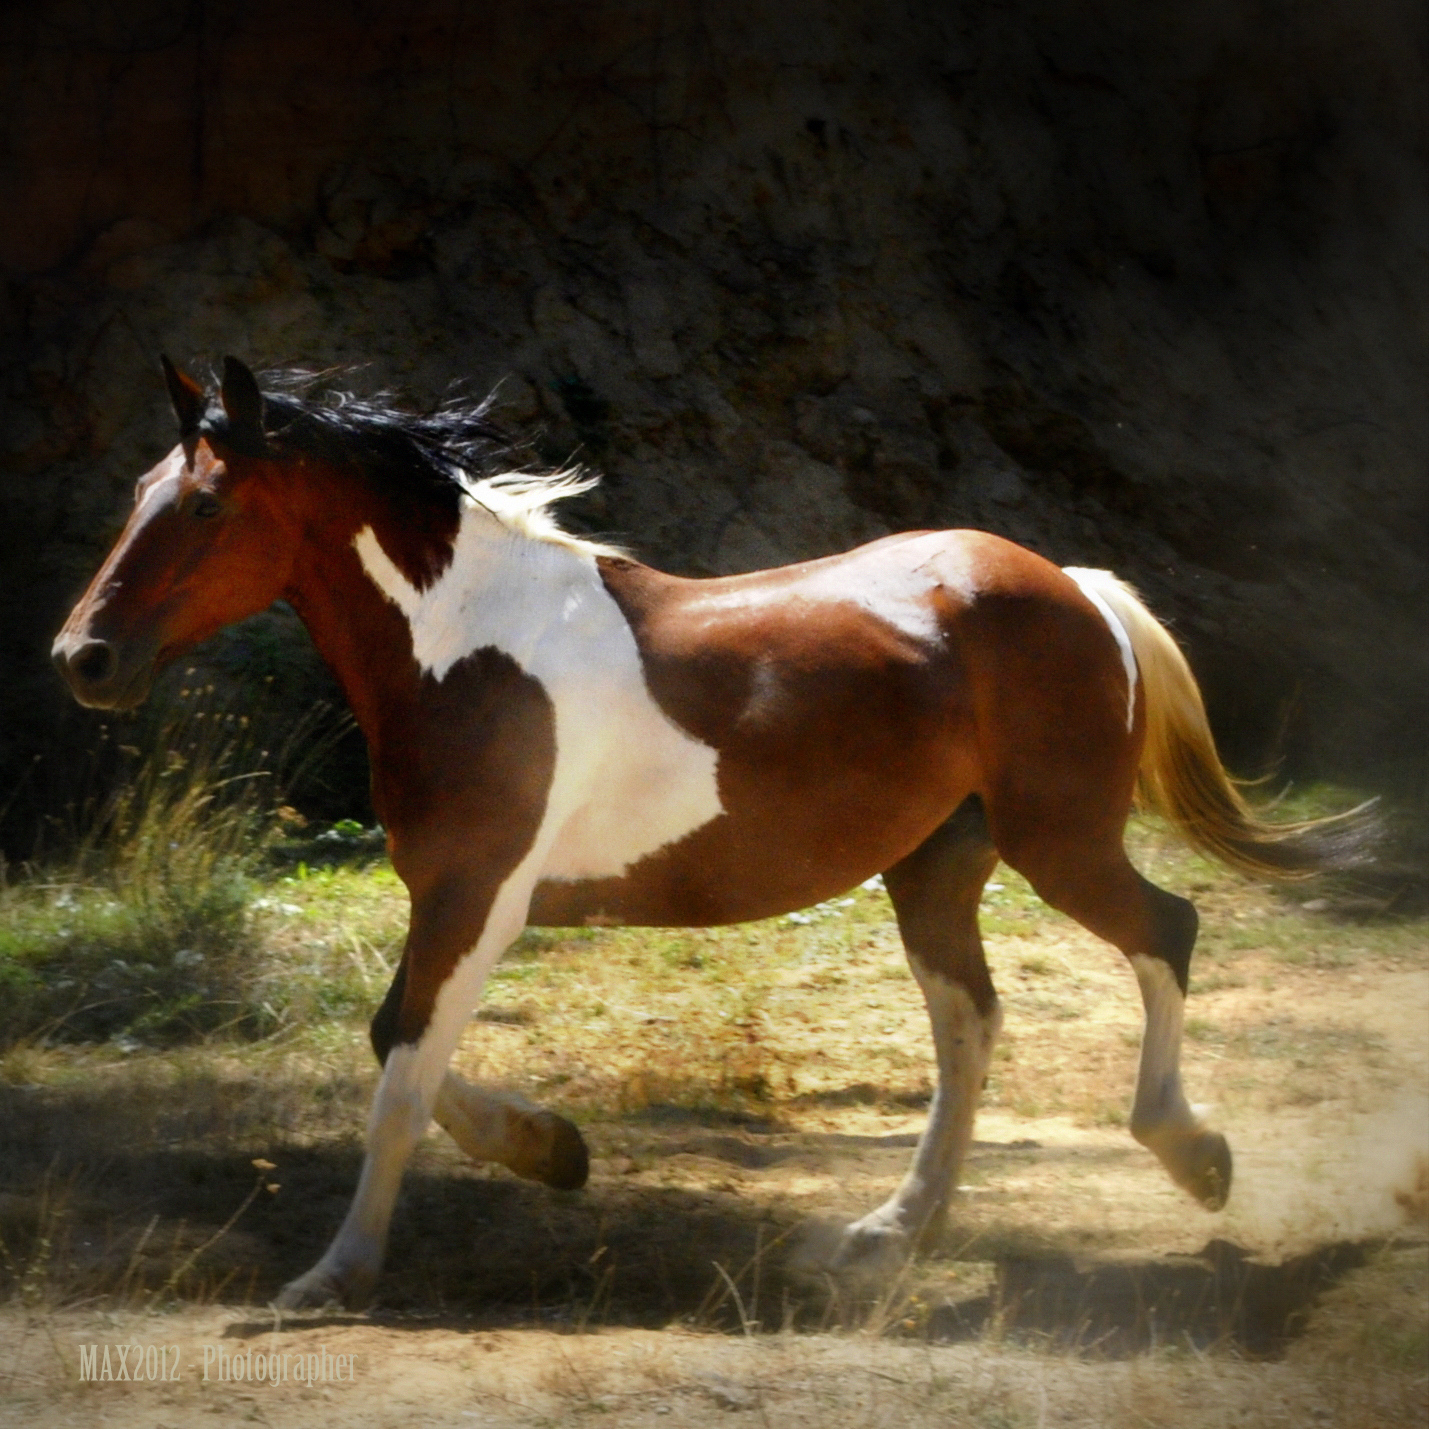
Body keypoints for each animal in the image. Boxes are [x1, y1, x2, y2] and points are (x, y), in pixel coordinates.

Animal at [52, 357, 1368, 1310]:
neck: (469, 645)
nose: (83, 658)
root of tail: (1073, 586)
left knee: (1165, 932)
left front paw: (337, 1273)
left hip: (1059, 841)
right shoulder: (451, 896)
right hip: (936, 865)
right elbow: (395, 1047)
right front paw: (554, 1148)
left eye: (205, 504)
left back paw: (1192, 1156)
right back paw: (889, 1233)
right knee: (970, 1024)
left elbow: (401, 1079)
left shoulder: (479, 894)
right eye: (135, 497)